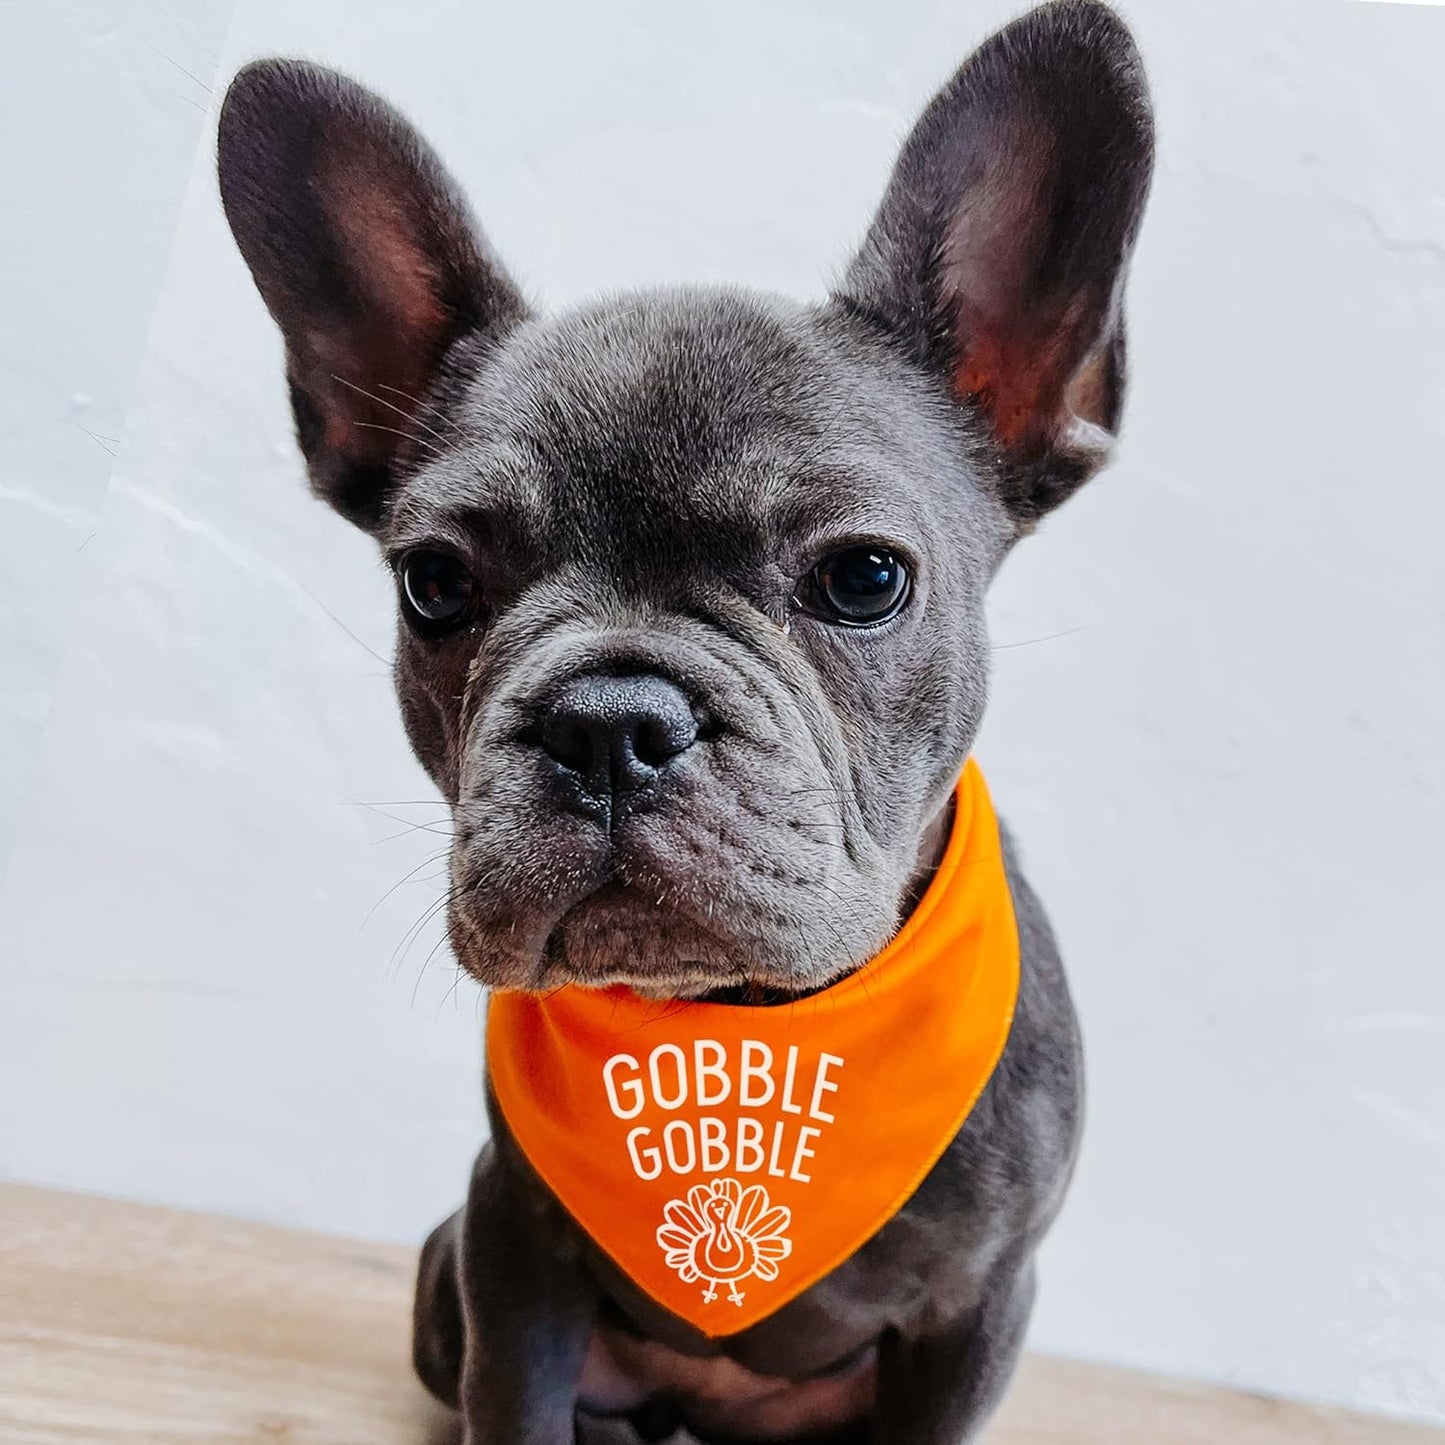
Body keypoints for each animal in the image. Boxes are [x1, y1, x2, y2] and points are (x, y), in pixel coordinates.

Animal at [219, 5, 1156, 1439]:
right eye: (434, 583)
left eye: (863, 577)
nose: (609, 718)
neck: (737, 1029)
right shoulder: (510, 1247)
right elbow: (516, 1404)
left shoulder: (979, 1307)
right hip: (443, 1268)